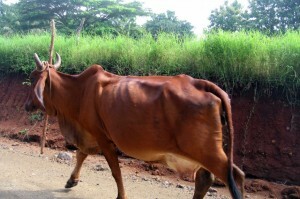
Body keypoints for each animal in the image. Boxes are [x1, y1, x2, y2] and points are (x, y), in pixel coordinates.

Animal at [24, 53, 245, 199]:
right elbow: (81, 154)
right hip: (204, 150)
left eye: (32, 78)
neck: (78, 92)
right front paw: (71, 181)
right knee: (211, 178)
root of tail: (200, 83)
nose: (27, 105)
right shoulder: (90, 134)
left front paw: (121, 196)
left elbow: (115, 170)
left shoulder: (102, 137)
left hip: (206, 150)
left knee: (232, 176)